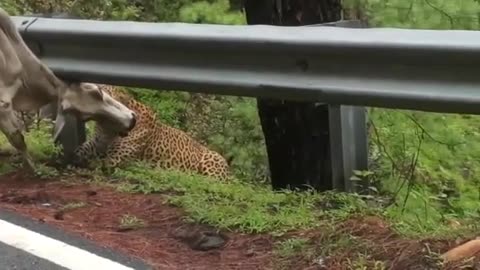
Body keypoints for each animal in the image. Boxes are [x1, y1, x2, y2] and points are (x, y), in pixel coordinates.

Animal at [0, 9, 137, 172]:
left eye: (85, 118)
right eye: (96, 91)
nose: (131, 121)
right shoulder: (3, 103)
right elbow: (18, 139)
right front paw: (32, 168)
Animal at [72, 84, 232, 181]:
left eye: (101, 92)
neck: (109, 127)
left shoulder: (115, 159)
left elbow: (96, 163)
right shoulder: (97, 142)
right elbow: (81, 150)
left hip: (212, 160)